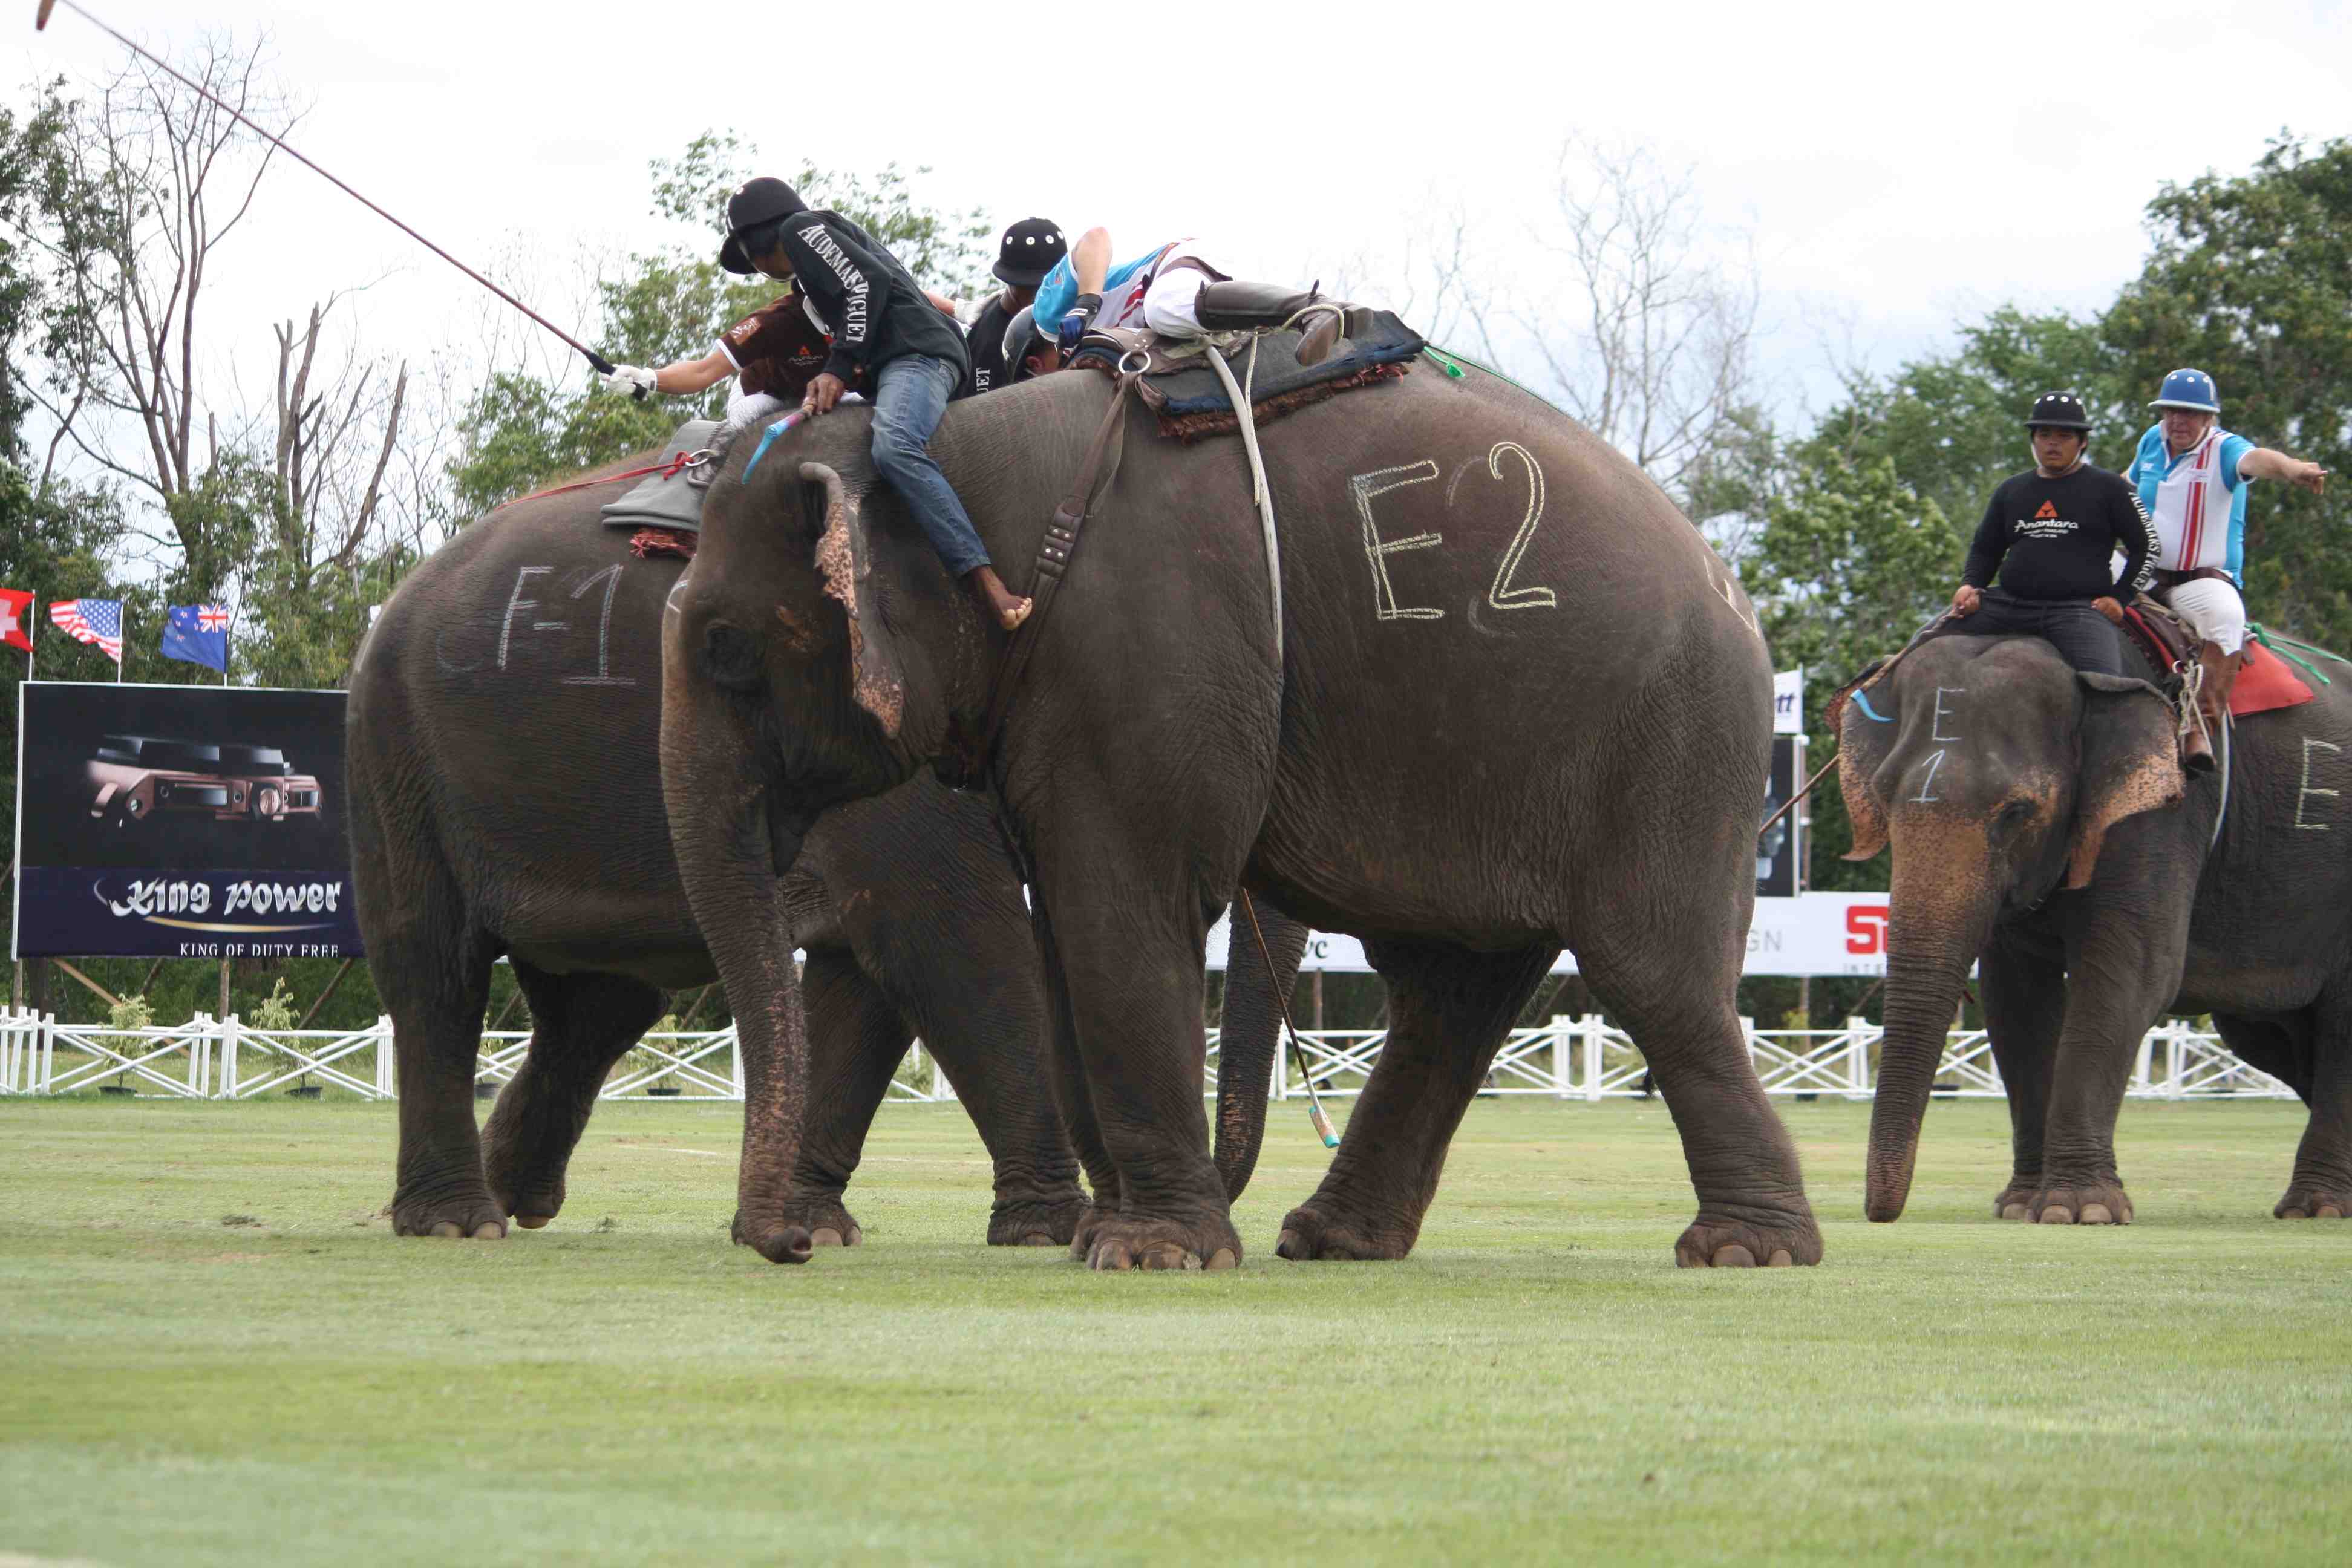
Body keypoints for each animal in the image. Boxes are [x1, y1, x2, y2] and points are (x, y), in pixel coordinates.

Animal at [346, 469, 1305, 1250]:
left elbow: (867, 985)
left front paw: (808, 1225)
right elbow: (954, 942)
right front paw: (1050, 1229)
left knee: (602, 999)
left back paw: (515, 1198)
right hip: (396, 755)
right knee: (433, 967)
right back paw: (456, 1221)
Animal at [660, 357, 1820, 1271]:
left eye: (723, 646)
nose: (791, 1245)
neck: (947, 443)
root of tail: (1731, 586)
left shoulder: (1139, 654)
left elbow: (1119, 909)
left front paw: (1148, 1254)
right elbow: (1067, 933)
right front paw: (1122, 1238)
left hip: (1666, 746)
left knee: (1647, 973)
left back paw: (1744, 1250)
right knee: (1451, 985)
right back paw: (1332, 1240)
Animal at [1836, 629, 2352, 1226]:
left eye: (2016, 813)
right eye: (1884, 797)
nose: (1878, 1215)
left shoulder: (2163, 810)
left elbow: (2131, 976)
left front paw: (2078, 1210)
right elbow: (2015, 999)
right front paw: (2021, 1205)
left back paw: (2316, 1209)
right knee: (2269, 1040)